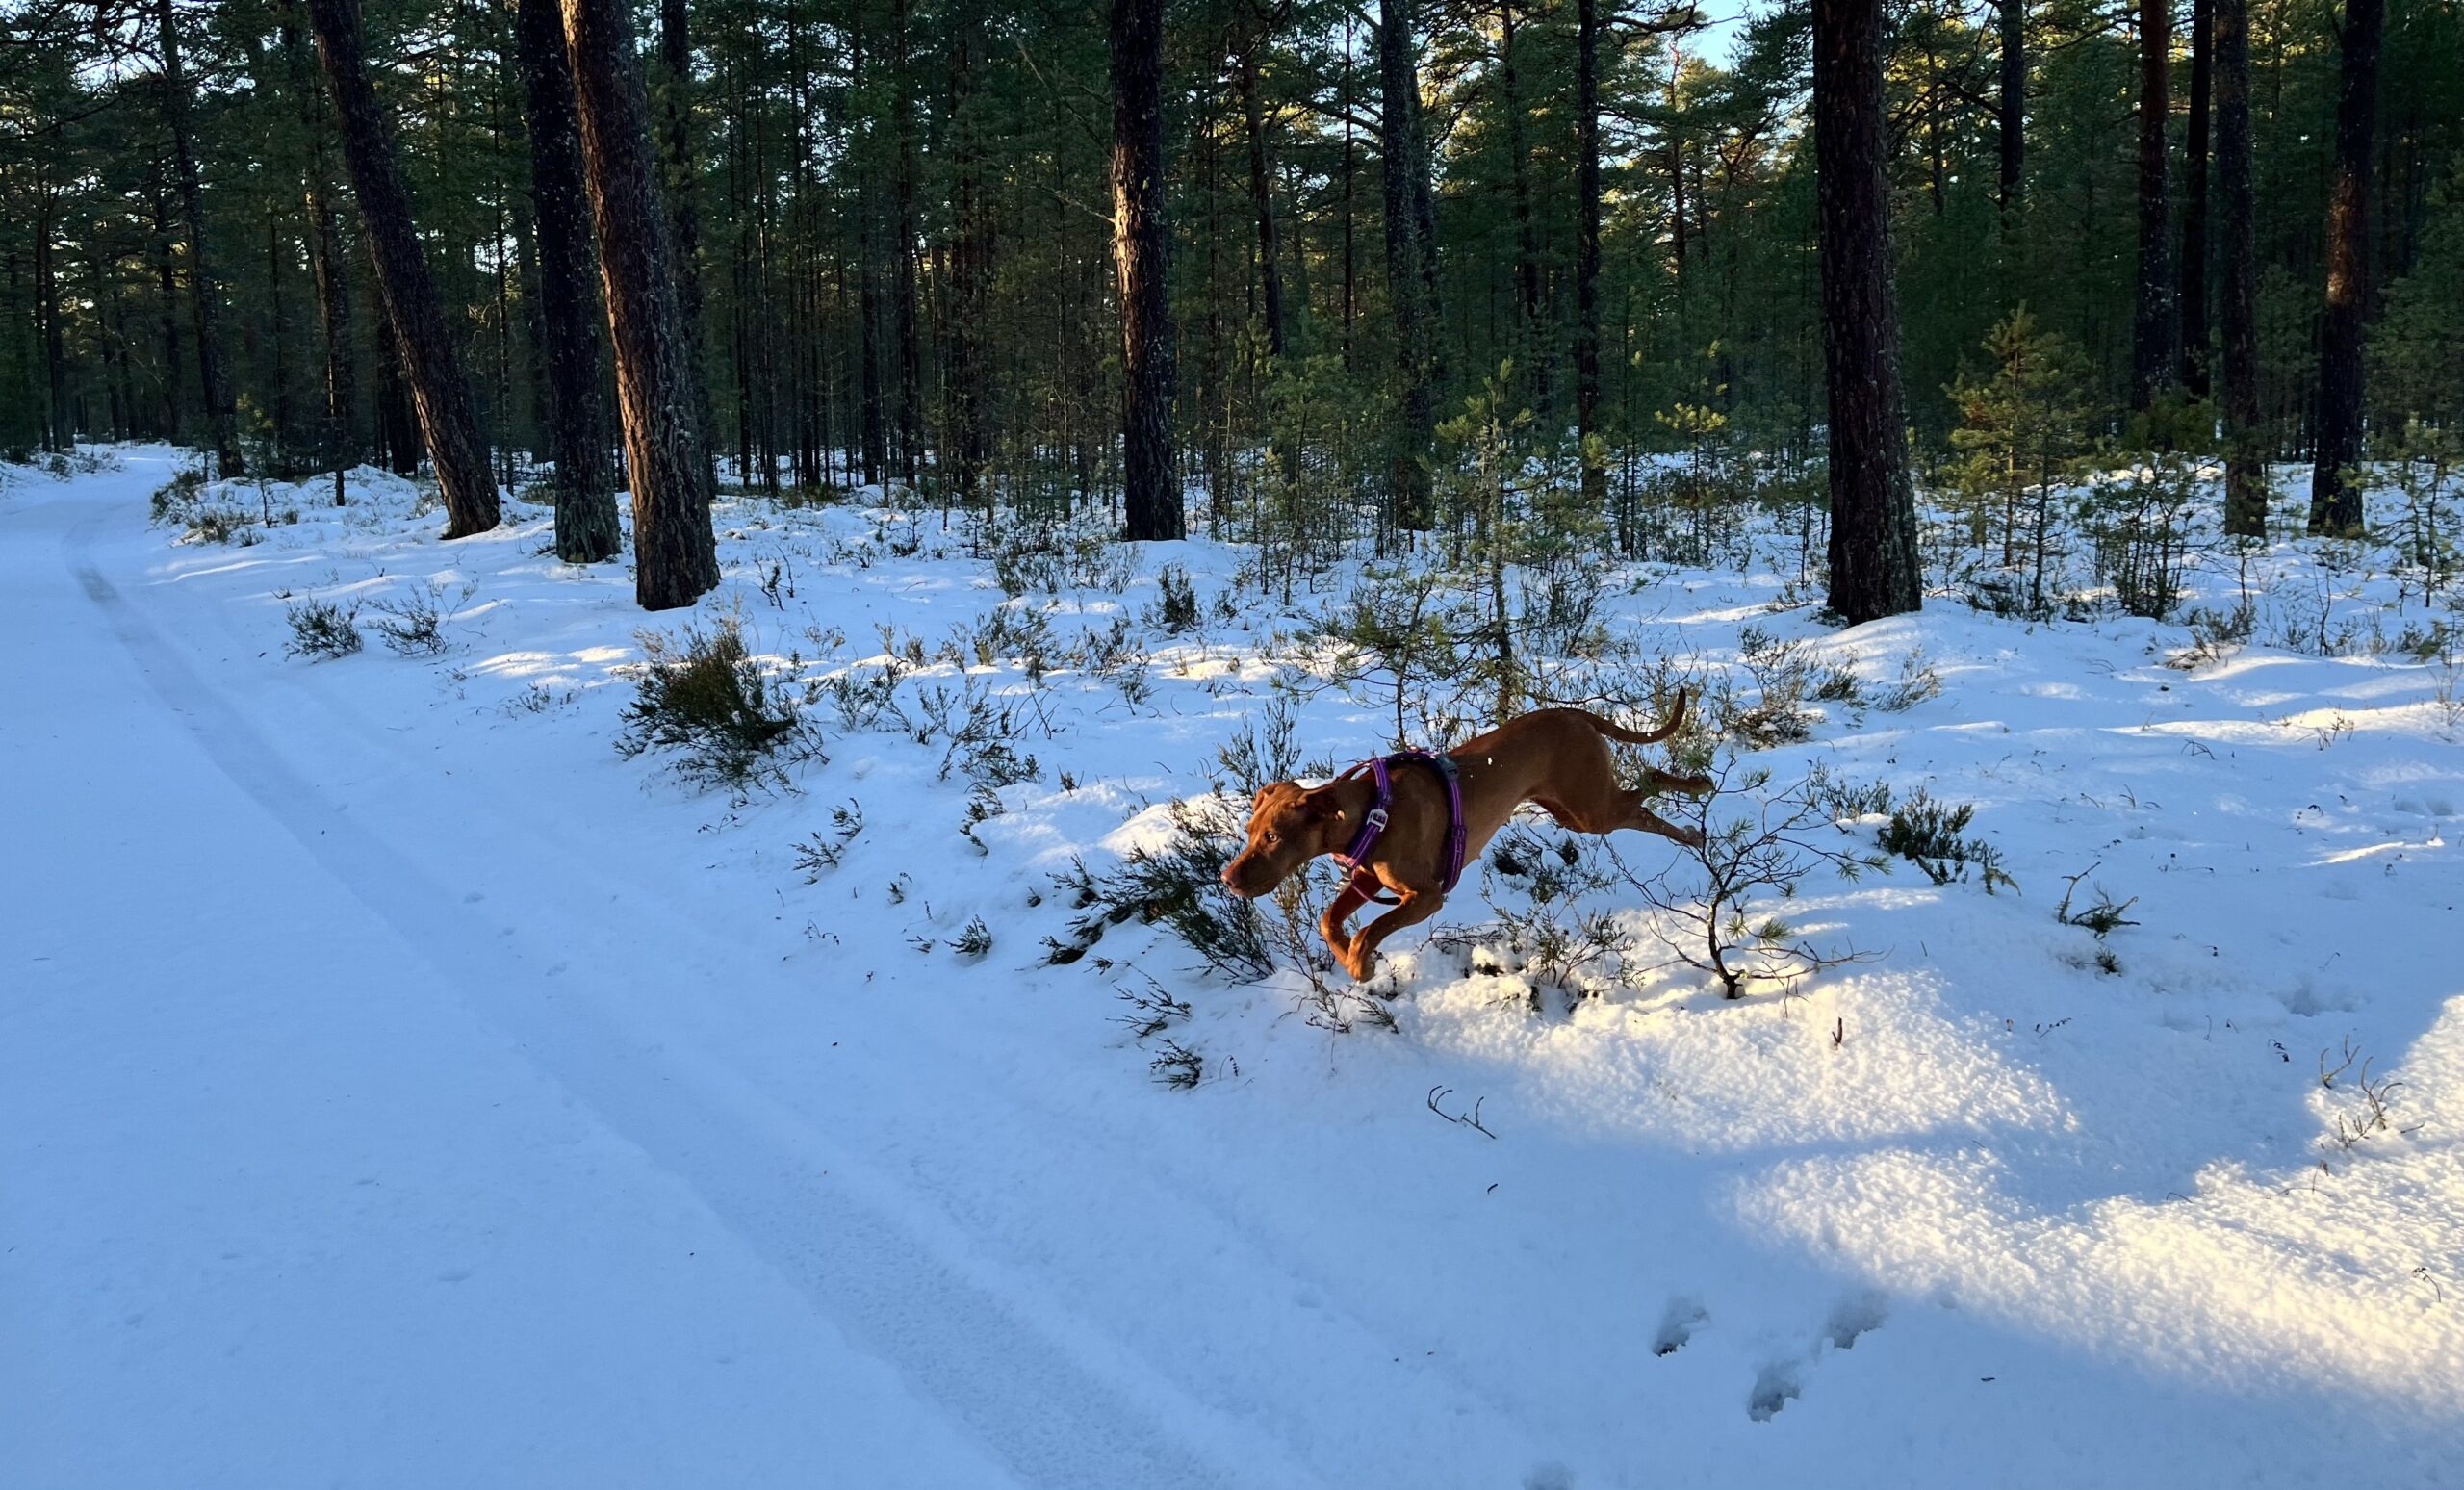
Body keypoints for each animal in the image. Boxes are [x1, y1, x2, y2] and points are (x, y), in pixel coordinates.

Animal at [1217, 694, 1714, 980]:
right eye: (1250, 832)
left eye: (1273, 838)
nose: (1228, 879)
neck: (1374, 811)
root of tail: (1576, 714)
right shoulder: (1369, 879)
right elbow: (1329, 920)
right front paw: (1349, 958)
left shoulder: (1425, 896)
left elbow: (1370, 930)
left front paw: (1360, 965)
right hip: (1573, 810)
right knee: (1642, 798)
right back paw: (1694, 823)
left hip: (1591, 809)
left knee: (1646, 786)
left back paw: (1697, 795)